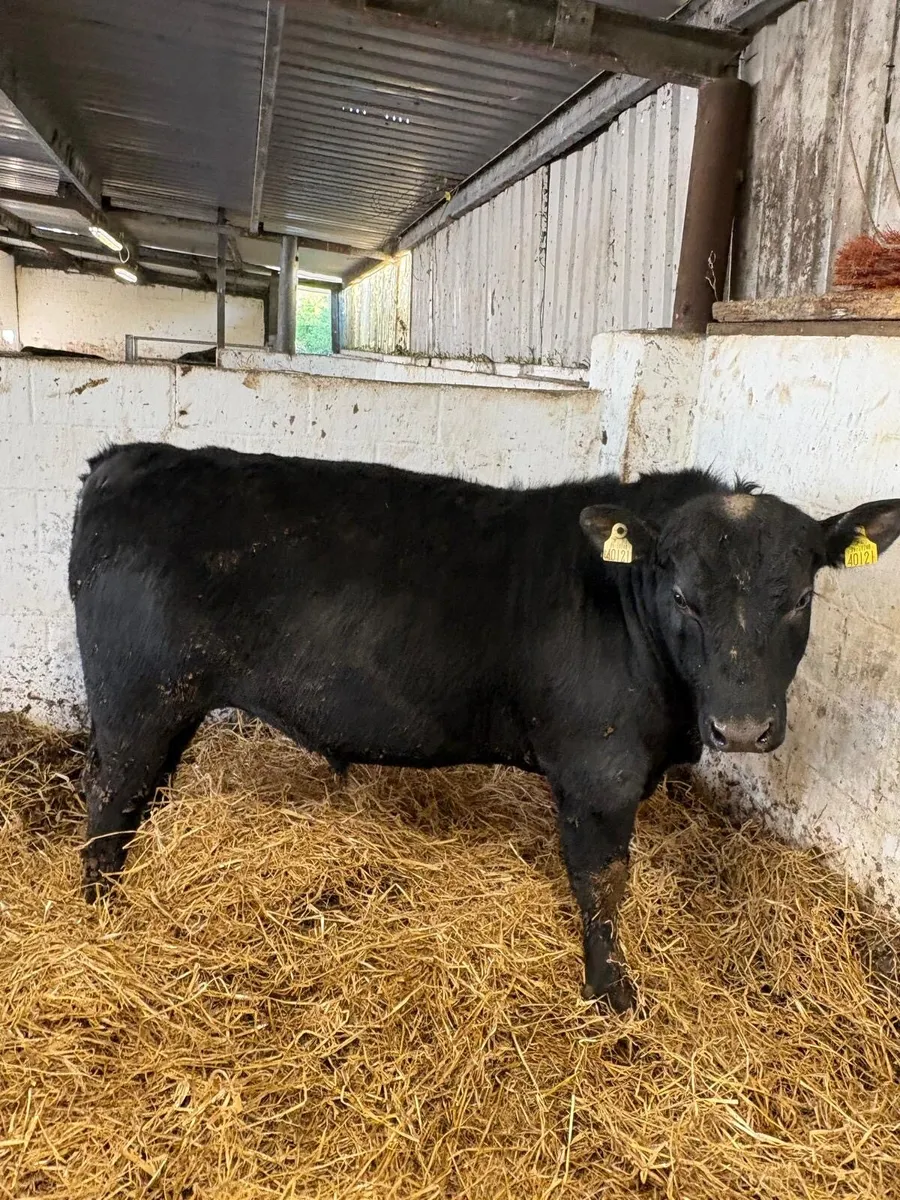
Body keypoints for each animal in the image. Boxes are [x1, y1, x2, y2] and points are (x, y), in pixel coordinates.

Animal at [68, 443, 900, 1011]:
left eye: (801, 597)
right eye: (683, 595)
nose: (742, 728)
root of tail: (127, 458)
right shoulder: (599, 772)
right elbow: (602, 881)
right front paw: (611, 992)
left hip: (168, 707)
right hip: (136, 698)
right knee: (108, 802)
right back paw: (102, 916)